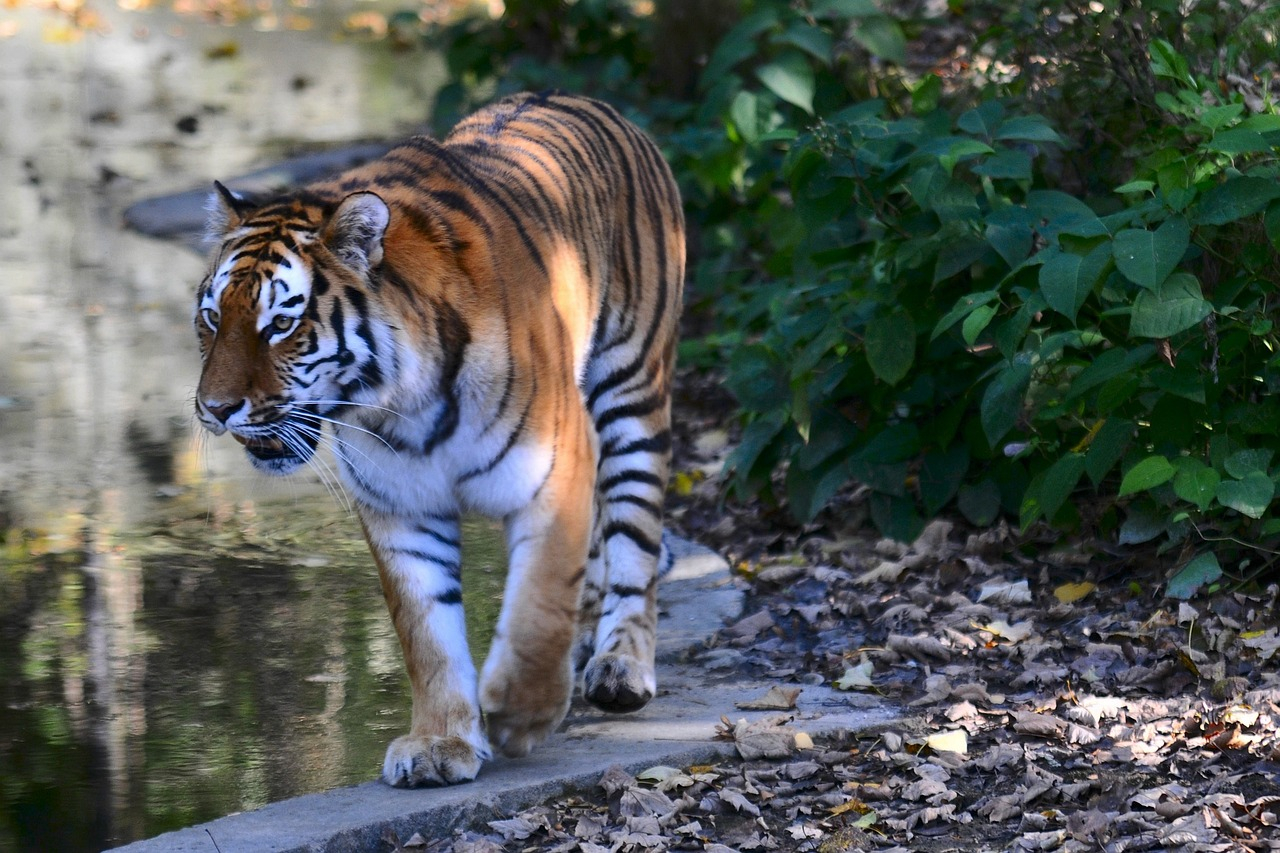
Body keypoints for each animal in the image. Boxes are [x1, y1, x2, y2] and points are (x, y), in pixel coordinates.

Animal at [190, 91, 686, 783]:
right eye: (212, 318)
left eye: (280, 325)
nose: (214, 408)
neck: (401, 403)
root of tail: (587, 100)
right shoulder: (401, 508)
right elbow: (427, 635)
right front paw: (439, 743)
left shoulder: (556, 470)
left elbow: (537, 605)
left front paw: (519, 715)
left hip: (632, 391)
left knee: (634, 541)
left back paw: (621, 666)